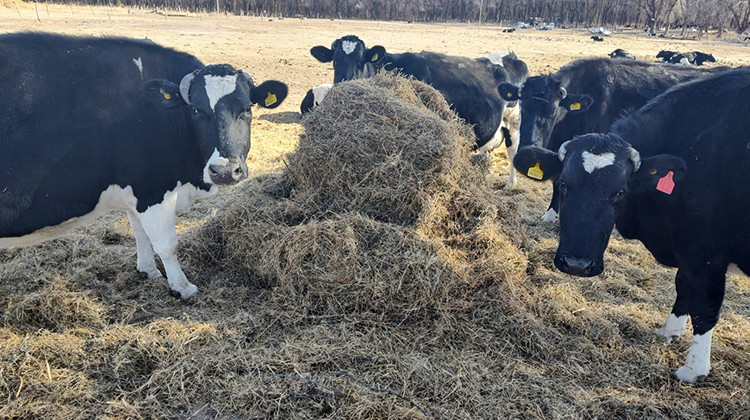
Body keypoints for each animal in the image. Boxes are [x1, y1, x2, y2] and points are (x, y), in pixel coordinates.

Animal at [0, 34, 290, 300]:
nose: (226, 171)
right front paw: (183, 287)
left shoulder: (135, 193)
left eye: (247, 108)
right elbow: (167, 244)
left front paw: (148, 271)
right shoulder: (152, 188)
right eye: (196, 110)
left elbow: (140, 233)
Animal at [310, 35, 528, 186]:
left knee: (513, 151)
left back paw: (511, 184)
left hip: (515, 121)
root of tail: (512, 57)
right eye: (334, 61)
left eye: (361, 61)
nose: (343, 85)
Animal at [516, 69, 750, 384]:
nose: (576, 264)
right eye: (563, 184)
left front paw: (693, 369)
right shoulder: (688, 251)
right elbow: (683, 286)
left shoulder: (707, 255)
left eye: (619, 192)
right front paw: (670, 330)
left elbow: (705, 307)